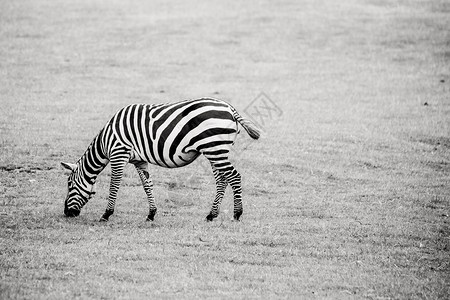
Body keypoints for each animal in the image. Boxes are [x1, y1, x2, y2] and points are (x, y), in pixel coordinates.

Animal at [61, 97, 262, 221]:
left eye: (69, 184)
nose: (66, 213)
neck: (106, 141)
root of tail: (230, 108)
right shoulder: (139, 160)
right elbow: (147, 185)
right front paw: (151, 214)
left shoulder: (119, 154)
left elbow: (114, 185)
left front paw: (106, 214)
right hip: (215, 150)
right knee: (222, 180)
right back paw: (211, 215)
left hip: (214, 148)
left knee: (234, 176)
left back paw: (237, 214)